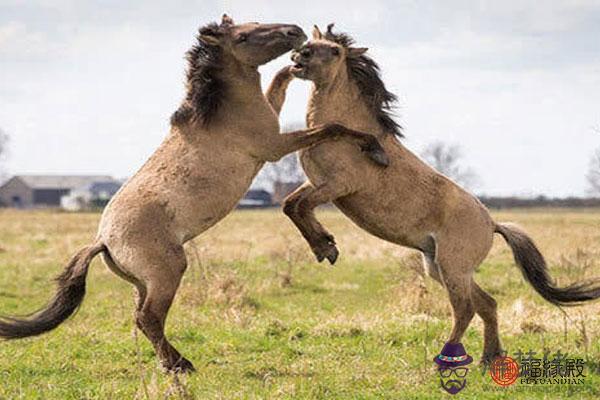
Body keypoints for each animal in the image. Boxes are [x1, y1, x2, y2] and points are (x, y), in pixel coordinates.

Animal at [0, 15, 390, 372]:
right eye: (243, 36)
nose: (294, 33)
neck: (221, 113)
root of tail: (104, 241)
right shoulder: (274, 146)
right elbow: (332, 127)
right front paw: (375, 149)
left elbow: (279, 85)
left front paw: (293, 67)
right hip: (168, 272)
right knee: (148, 318)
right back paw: (180, 364)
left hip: (143, 283)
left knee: (141, 316)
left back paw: (169, 362)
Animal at [270, 24, 600, 362]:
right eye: (313, 42)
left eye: (334, 51)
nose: (300, 55)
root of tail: (493, 224)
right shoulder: (315, 183)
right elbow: (291, 205)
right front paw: (324, 246)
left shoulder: (338, 186)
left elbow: (300, 207)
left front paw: (327, 247)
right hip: (439, 267)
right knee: (487, 304)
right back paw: (489, 358)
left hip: (453, 269)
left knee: (466, 310)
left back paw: (446, 359)